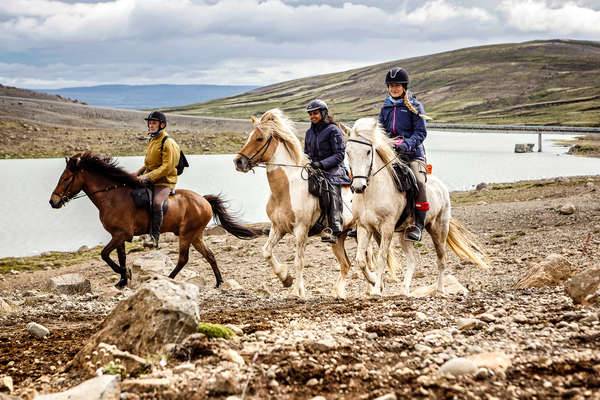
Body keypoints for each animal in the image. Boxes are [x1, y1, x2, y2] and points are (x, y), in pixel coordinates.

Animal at [49, 152, 260, 288]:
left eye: (66, 178)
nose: (53, 201)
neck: (112, 196)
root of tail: (204, 200)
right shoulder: (118, 236)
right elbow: (119, 257)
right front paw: (123, 280)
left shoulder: (121, 234)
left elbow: (104, 255)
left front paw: (126, 275)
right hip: (196, 235)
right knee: (210, 255)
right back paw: (218, 281)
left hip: (187, 234)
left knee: (183, 259)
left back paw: (169, 278)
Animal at [233, 109, 394, 296]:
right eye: (249, 137)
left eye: (259, 138)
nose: (238, 161)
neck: (286, 189)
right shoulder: (278, 228)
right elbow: (266, 252)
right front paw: (285, 278)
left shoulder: (301, 230)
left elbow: (298, 261)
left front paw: (296, 292)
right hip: (339, 238)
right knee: (346, 264)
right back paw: (340, 292)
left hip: (360, 231)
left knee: (368, 260)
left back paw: (371, 285)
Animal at [344, 117, 490, 296]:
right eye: (348, 152)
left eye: (368, 152)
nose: (358, 187)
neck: (372, 193)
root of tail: (441, 186)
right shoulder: (364, 227)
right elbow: (360, 260)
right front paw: (373, 282)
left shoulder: (387, 227)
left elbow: (381, 259)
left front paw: (377, 290)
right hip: (404, 234)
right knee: (413, 260)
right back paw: (404, 290)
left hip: (438, 229)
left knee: (441, 259)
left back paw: (440, 290)